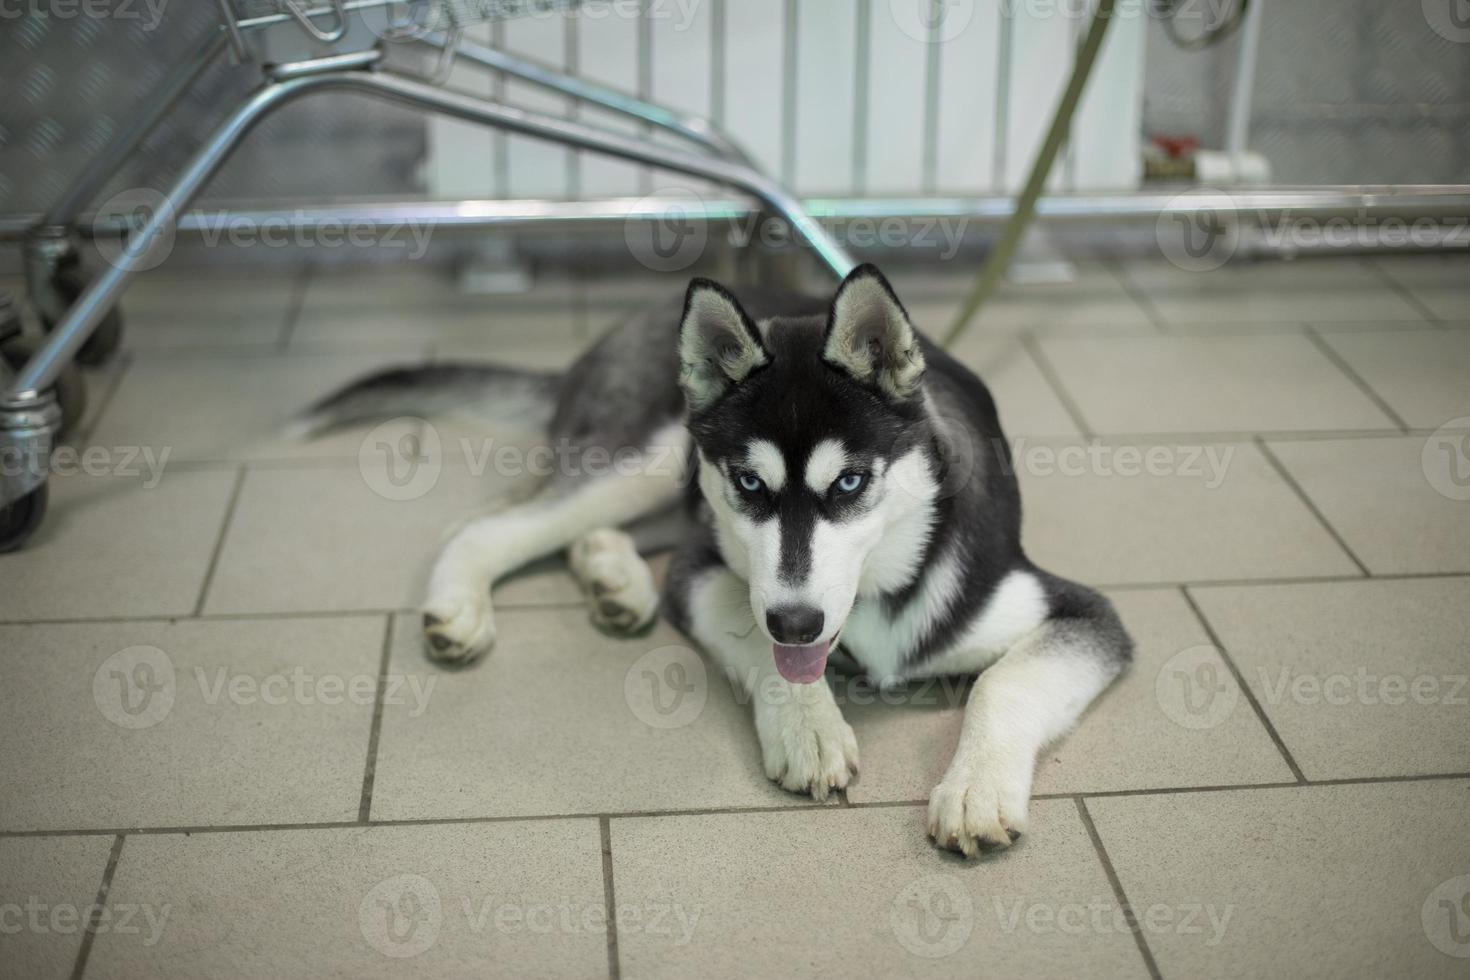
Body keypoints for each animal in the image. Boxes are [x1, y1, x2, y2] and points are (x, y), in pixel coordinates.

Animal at [295, 264, 1123, 852]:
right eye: (751, 484)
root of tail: (625, 325)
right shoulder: (706, 571)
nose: (797, 623)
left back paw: (615, 580)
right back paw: (463, 603)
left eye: (851, 482)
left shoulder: (1080, 612)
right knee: (488, 523)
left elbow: (1005, 682)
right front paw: (808, 727)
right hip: (657, 454)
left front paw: (976, 789)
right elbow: (746, 625)